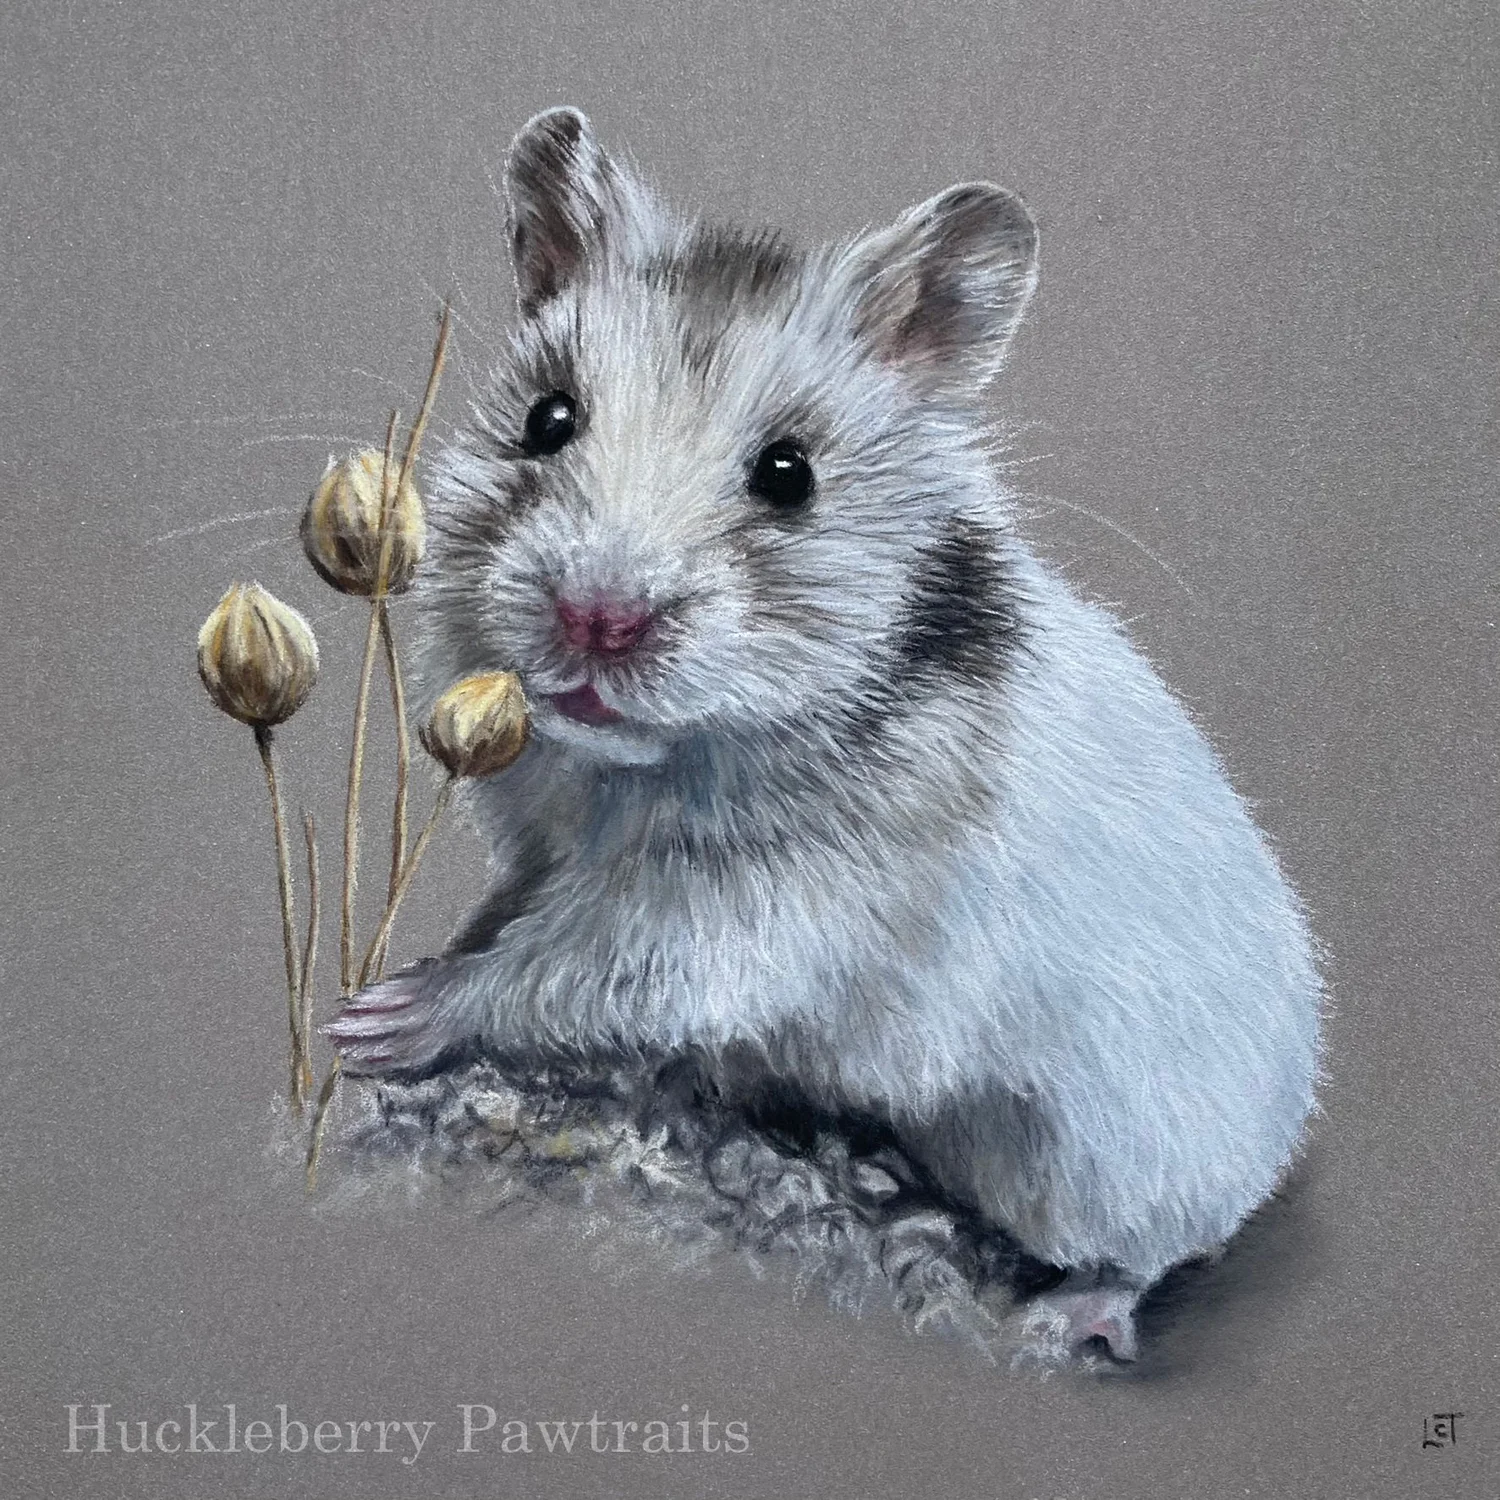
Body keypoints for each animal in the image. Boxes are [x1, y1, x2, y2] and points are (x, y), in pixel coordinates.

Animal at [327, 106, 1324, 1362]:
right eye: (547, 420)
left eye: (789, 474)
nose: (596, 619)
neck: (644, 767)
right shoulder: (543, 843)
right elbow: (507, 915)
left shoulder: (735, 918)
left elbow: (556, 971)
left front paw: (379, 1017)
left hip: (1104, 1166)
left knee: (1158, 1250)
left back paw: (1064, 1319)